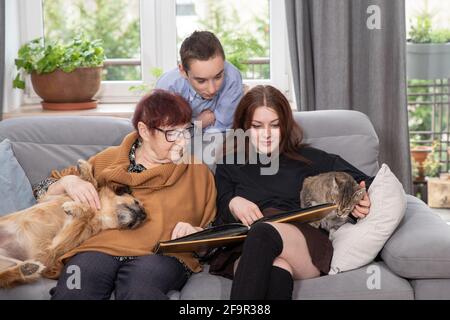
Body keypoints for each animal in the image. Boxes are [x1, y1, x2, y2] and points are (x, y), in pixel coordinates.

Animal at [0, 160, 147, 288]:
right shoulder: (48, 198)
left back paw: (27, 269)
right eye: (137, 202)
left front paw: (75, 208)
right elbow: (92, 184)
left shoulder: (54, 247)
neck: (102, 213)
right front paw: (85, 170)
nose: (144, 216)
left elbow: (86, 213)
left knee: (4, 276)